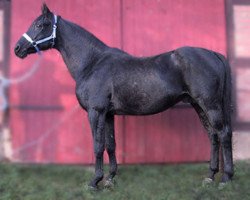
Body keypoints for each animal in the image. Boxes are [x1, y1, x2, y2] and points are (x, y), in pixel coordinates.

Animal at [14, 4, 233, 189]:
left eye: (40, 24)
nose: (17, 48)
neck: (93, 62)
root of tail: (213, 54)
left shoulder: (96, 112)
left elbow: (98, 145)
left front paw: (95, 182)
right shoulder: (109, 114)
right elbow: (111, 145)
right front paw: (110, 179)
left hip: (210, 105)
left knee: (223, 134)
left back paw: (225, 179)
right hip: (198, 106)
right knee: (213, 135)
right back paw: (210, 176)